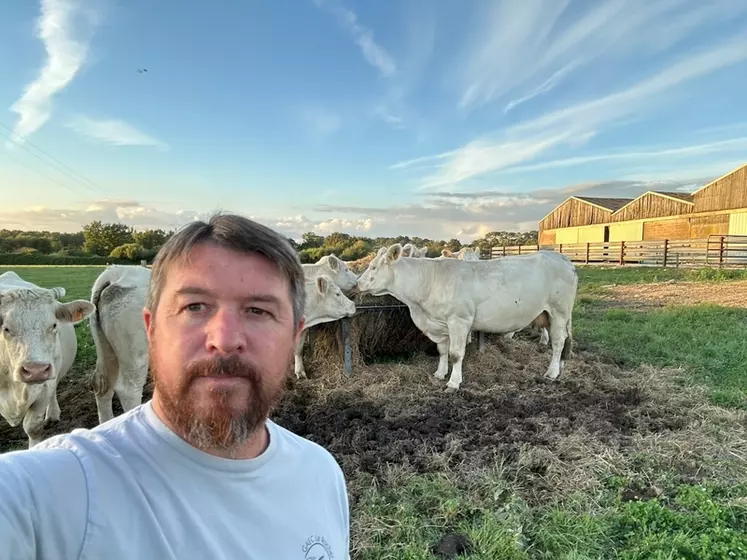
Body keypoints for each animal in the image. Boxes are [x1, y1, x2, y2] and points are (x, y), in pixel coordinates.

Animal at [356, 243, 580, 392]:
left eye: (373, 267)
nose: (358, 283)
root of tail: (561, 258)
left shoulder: (459, 320)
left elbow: (456, 354)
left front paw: (453, 383)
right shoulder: (440, 323)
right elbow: (442, 350)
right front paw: (440, 373)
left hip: (559, 311)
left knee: (558, 342)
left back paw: (551, 373)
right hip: (550, 314)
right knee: (564, 340)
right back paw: (560, 367)